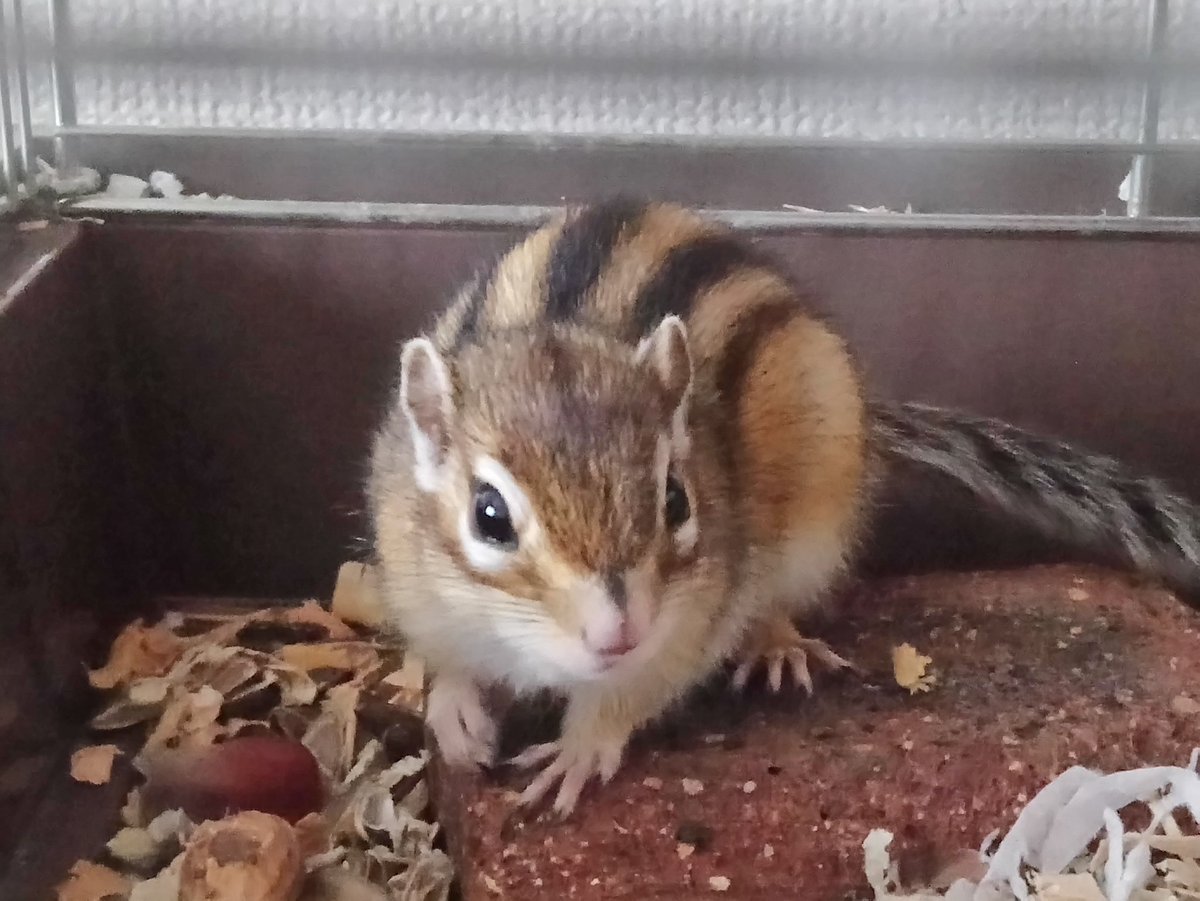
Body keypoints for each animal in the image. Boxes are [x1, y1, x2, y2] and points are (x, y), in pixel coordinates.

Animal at [366, 197, 1200, 815]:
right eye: (489, 516)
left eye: (676, 499)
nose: (617, 633)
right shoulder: (415, 586)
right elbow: (445, 659)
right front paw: (457, 715)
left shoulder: (690, 622)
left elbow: (633, 692)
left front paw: (577, 750)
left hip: (813, 528)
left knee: (776, 596)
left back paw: (775, 643)